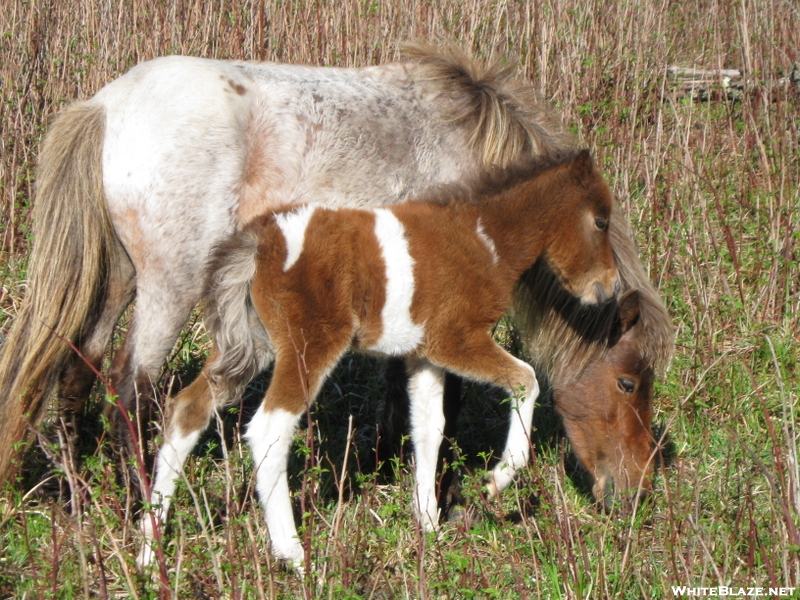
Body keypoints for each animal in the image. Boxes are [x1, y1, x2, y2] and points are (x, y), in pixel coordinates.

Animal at [0, 43, 672, 502]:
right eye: (628, 382)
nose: (635, 490)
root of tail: (106, 105)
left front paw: (382, 467)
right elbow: (441, 394)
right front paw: (433, 483)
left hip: (120, 281)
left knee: (76, 369)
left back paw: (82, 498)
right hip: (172, 282)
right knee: (130, 387)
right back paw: (142, 502)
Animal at [138, 148, 620, 568]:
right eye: (601, 220)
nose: (610, 288)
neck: (486, 240)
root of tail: (262, 237)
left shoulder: (424, 356)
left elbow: (429, 427)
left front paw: (428, 524)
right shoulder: (456, 340)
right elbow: (526, 380)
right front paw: (496, 480)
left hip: (249, 343)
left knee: (188, 409)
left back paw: (149, 548)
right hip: (309, 345)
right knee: (270, 427)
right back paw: (293, 555)